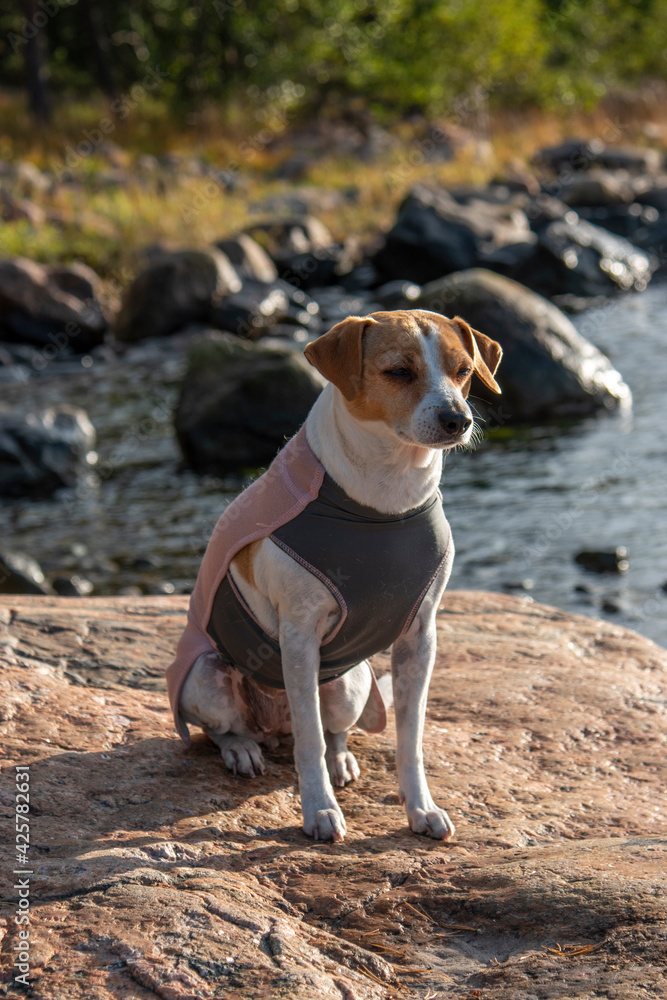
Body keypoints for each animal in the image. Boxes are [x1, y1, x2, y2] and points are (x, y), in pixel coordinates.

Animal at [167, 308, 500, 840]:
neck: (387, 494)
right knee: (227, 729)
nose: (458, 419)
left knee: (334, 728)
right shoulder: (299, 636)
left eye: (464, 370)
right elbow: (309, 743)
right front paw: (319, 810)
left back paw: (341, 759)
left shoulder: (420, 637)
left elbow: (410, 738)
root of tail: (272, 729)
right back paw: (243, 749)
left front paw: (420, 807)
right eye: (398, 371)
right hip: (206, 674)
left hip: (348, 684)